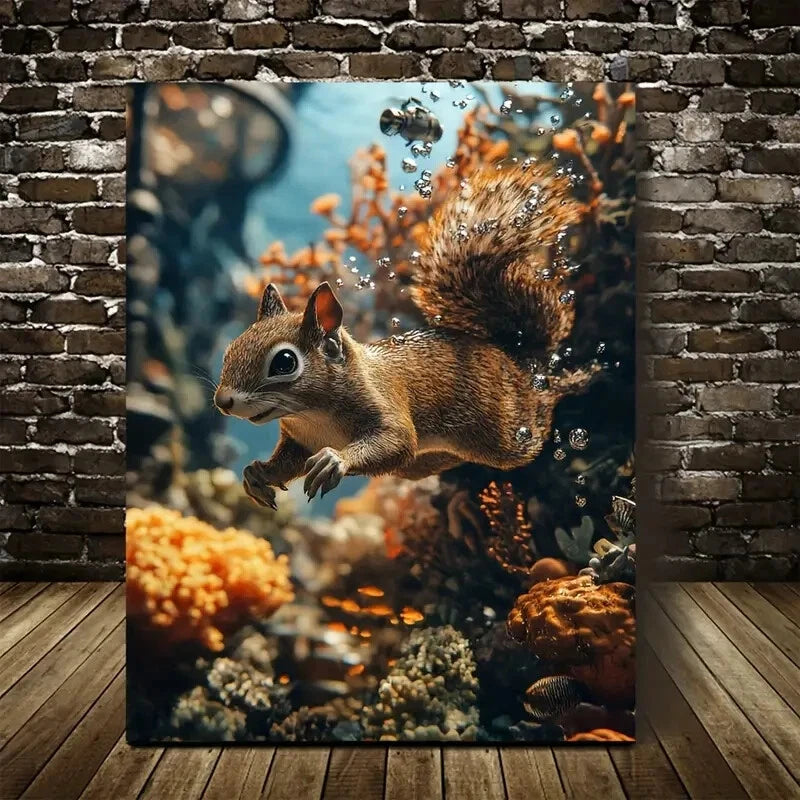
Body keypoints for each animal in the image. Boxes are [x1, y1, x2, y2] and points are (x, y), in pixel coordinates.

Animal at [215, 164, 597, 508]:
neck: (312, 416)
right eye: (230, 349)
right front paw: (257, 474)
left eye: (284, 362)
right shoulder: (299, 441)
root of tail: (514, 355)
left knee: (538, 411)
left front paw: (335, 460)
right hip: (429, 463)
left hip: (508, 432)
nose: (222, 402)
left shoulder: (386, 404)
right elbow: (287, 463)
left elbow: (396, 442)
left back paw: (575, 379)